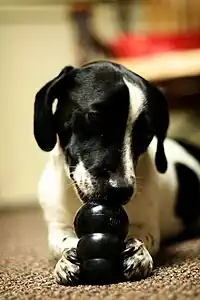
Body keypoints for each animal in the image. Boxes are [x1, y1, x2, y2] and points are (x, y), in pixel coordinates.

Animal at [33, 59, 200, 284]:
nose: (120, 191)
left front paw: (138, 253)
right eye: (94, 117)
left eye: (147, 133)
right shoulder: (57, 227)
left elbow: (143, 236)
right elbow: (65, 241)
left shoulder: (147, 225)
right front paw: (66, 261)